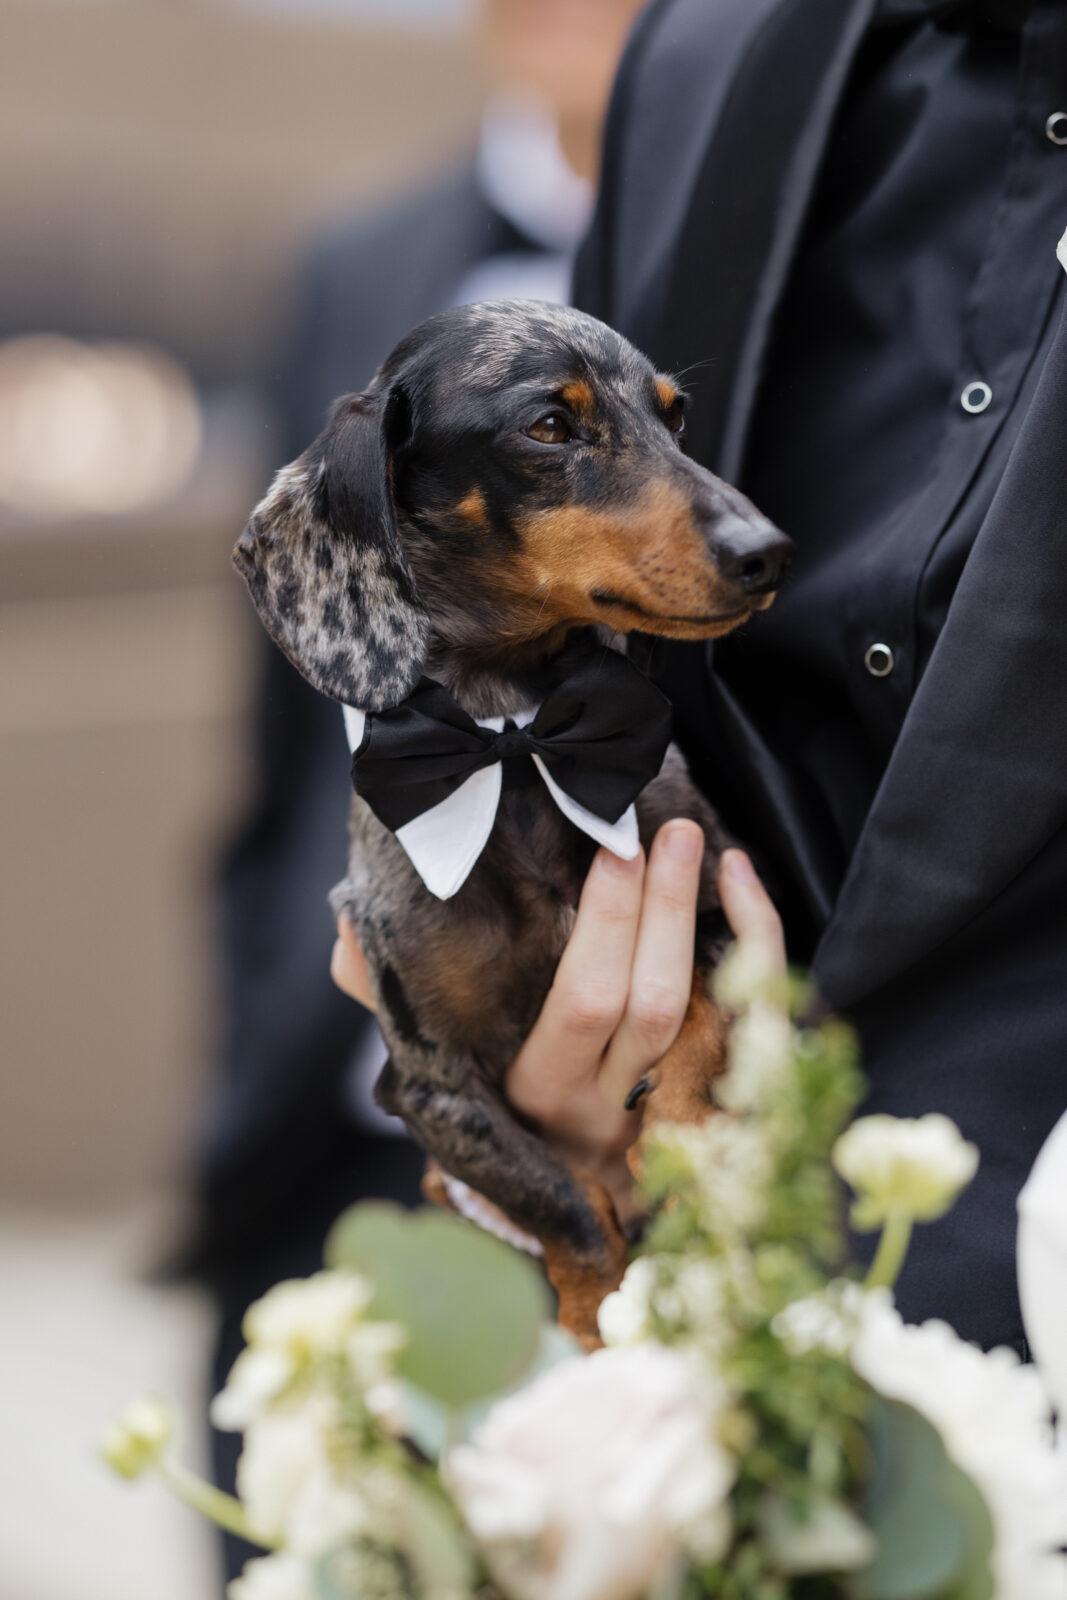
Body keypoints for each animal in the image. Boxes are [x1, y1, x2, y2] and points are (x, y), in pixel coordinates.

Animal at [235, 297, 793, 1337]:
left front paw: (685, 1127)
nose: (767, 552)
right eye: (548, 427)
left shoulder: (726, 903)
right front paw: (601, 1314)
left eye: (677, 416)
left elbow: (709, 1001)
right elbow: (556, 1198)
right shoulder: (428, 1088)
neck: (519, 750)